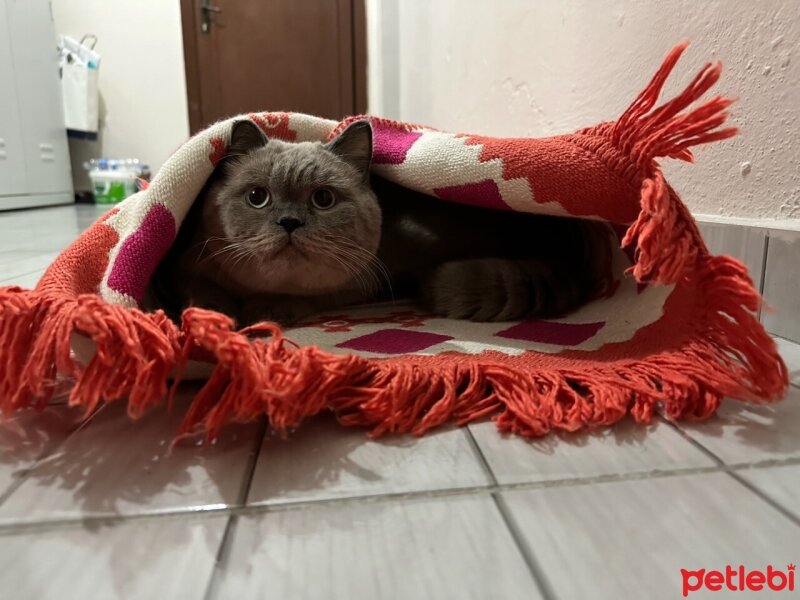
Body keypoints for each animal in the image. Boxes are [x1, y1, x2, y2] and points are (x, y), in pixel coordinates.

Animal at [148, 120, 608, 326]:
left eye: (323, 199)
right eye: (258, 197)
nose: (289, 222)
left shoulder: (363, 282)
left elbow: (309, 298)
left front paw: (268, 310)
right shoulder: (183, 265)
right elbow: (203, 290)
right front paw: (217, 315)